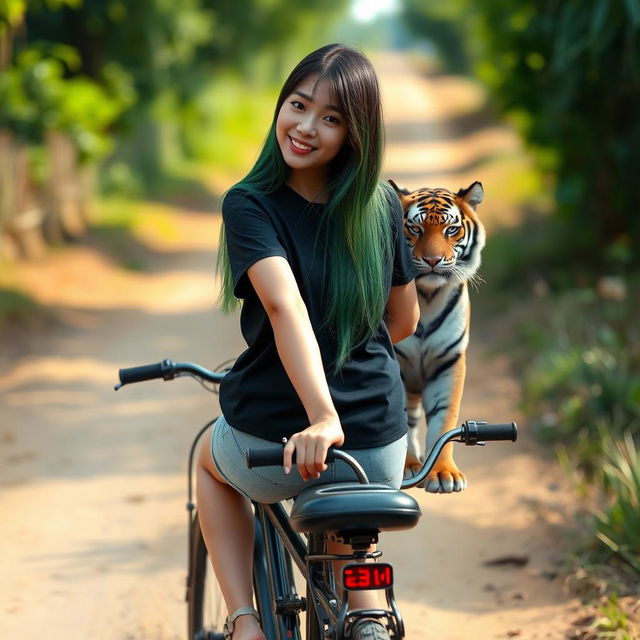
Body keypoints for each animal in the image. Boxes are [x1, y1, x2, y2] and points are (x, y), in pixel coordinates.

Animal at [388, 180, 488, 496]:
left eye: (451, 229)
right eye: (415, 229)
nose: (432, 260)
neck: (427, 297)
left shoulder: (448, 361)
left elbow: (445, 419)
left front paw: (443, 474)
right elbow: (400, 421)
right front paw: (406, 467)